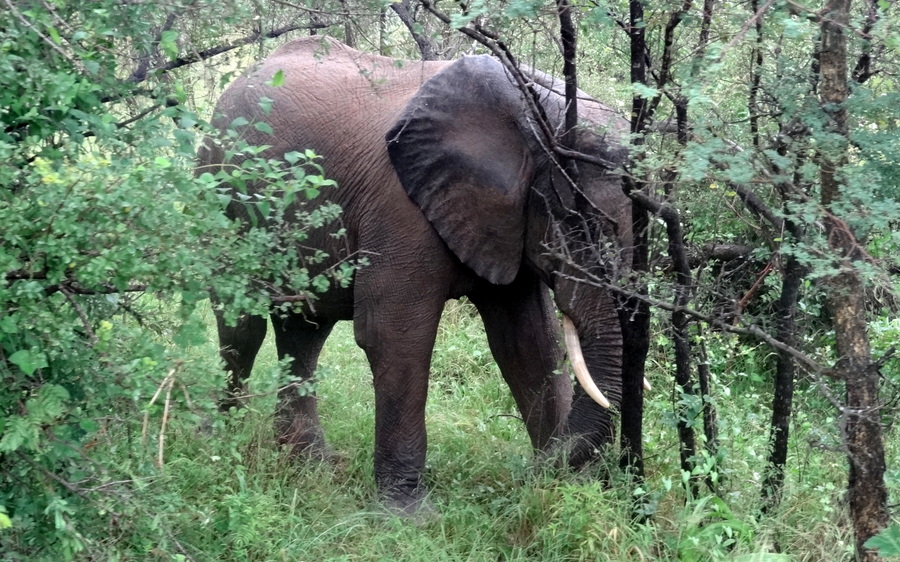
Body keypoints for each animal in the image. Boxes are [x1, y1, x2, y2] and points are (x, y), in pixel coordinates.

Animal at [199, 36, 635, 515]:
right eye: (575, 224)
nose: (528, 475)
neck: (534, 113)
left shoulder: (505, 220)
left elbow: (528, 342)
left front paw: (559, 492)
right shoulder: (400, 207)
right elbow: (394, 335)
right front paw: (408, 517)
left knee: (305, 330)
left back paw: (309, 463)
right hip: (220, 193)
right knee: (242, 326)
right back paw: (222, 443)